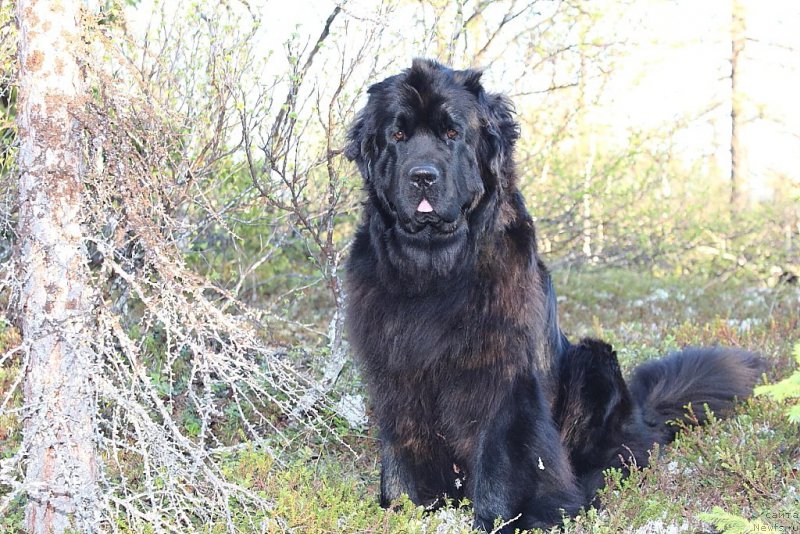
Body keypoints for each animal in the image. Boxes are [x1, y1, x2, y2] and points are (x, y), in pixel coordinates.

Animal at [342, 58, 764, 532]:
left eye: (453, 134)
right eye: (397, 136)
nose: (422, 176)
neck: (435, 271)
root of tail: (642, 414)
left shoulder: (505, 378)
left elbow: (501, 456)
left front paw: (505, 519)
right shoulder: (397, 371)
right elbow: (403, 443)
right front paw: (402, 508)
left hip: (594, 363)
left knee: (611, 456)